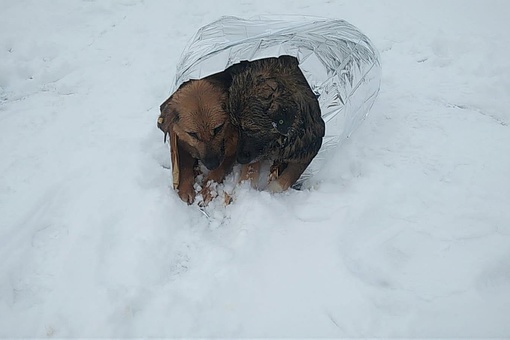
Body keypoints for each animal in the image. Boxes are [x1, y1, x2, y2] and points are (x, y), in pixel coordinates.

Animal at [157, 72, 237, 205]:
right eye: (193, 134)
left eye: (218, 128)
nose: (212, 164)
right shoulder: (182, 145)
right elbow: (184, 166)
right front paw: (185, 189)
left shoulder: (231, 151)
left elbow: (219, 170)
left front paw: (208, 190)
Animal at [228, 57, 324, 193]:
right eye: (236, 127)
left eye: (252, 130)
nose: (239, 159)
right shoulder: (257, 152)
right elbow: (251, 168)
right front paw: (245, 186)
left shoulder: (307, 150)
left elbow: (292, 173)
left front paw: (272, 189)